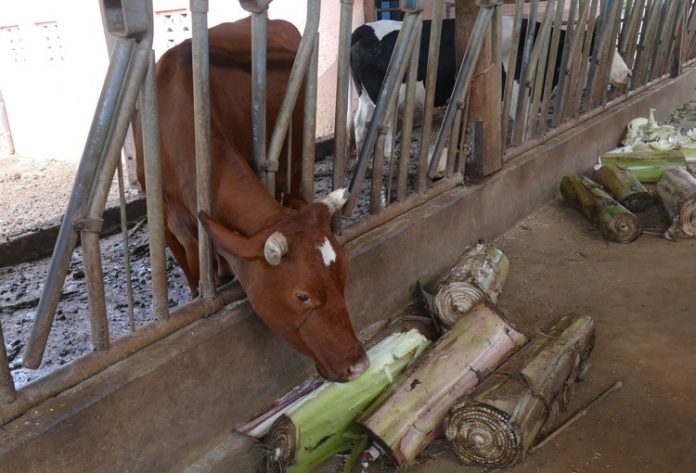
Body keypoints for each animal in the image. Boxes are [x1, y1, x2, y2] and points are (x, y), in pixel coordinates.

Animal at [350, 16, 632, 152]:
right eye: (599, 53)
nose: (628, 74)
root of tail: (362, 29)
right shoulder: (520, 97)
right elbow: (523, 131)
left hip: (365, 96)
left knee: (358, 123)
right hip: (385, 99)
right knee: (380, 132)